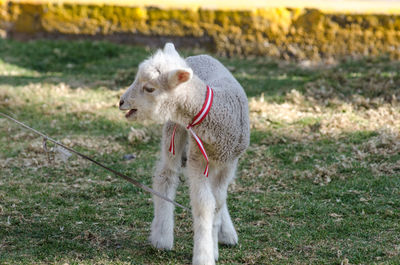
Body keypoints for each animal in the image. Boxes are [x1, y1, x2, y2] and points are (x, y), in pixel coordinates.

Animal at [119, 43, 250, 264]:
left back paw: (226, 233)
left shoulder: (229, 162)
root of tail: (198, 55)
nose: (121, 102)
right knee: (166, 176)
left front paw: (214, 244)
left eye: (149, 88)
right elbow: (204, 205)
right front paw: (204, 255)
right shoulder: (198, 158)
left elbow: (217, 202)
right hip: (174, 129)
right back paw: (162, 238)